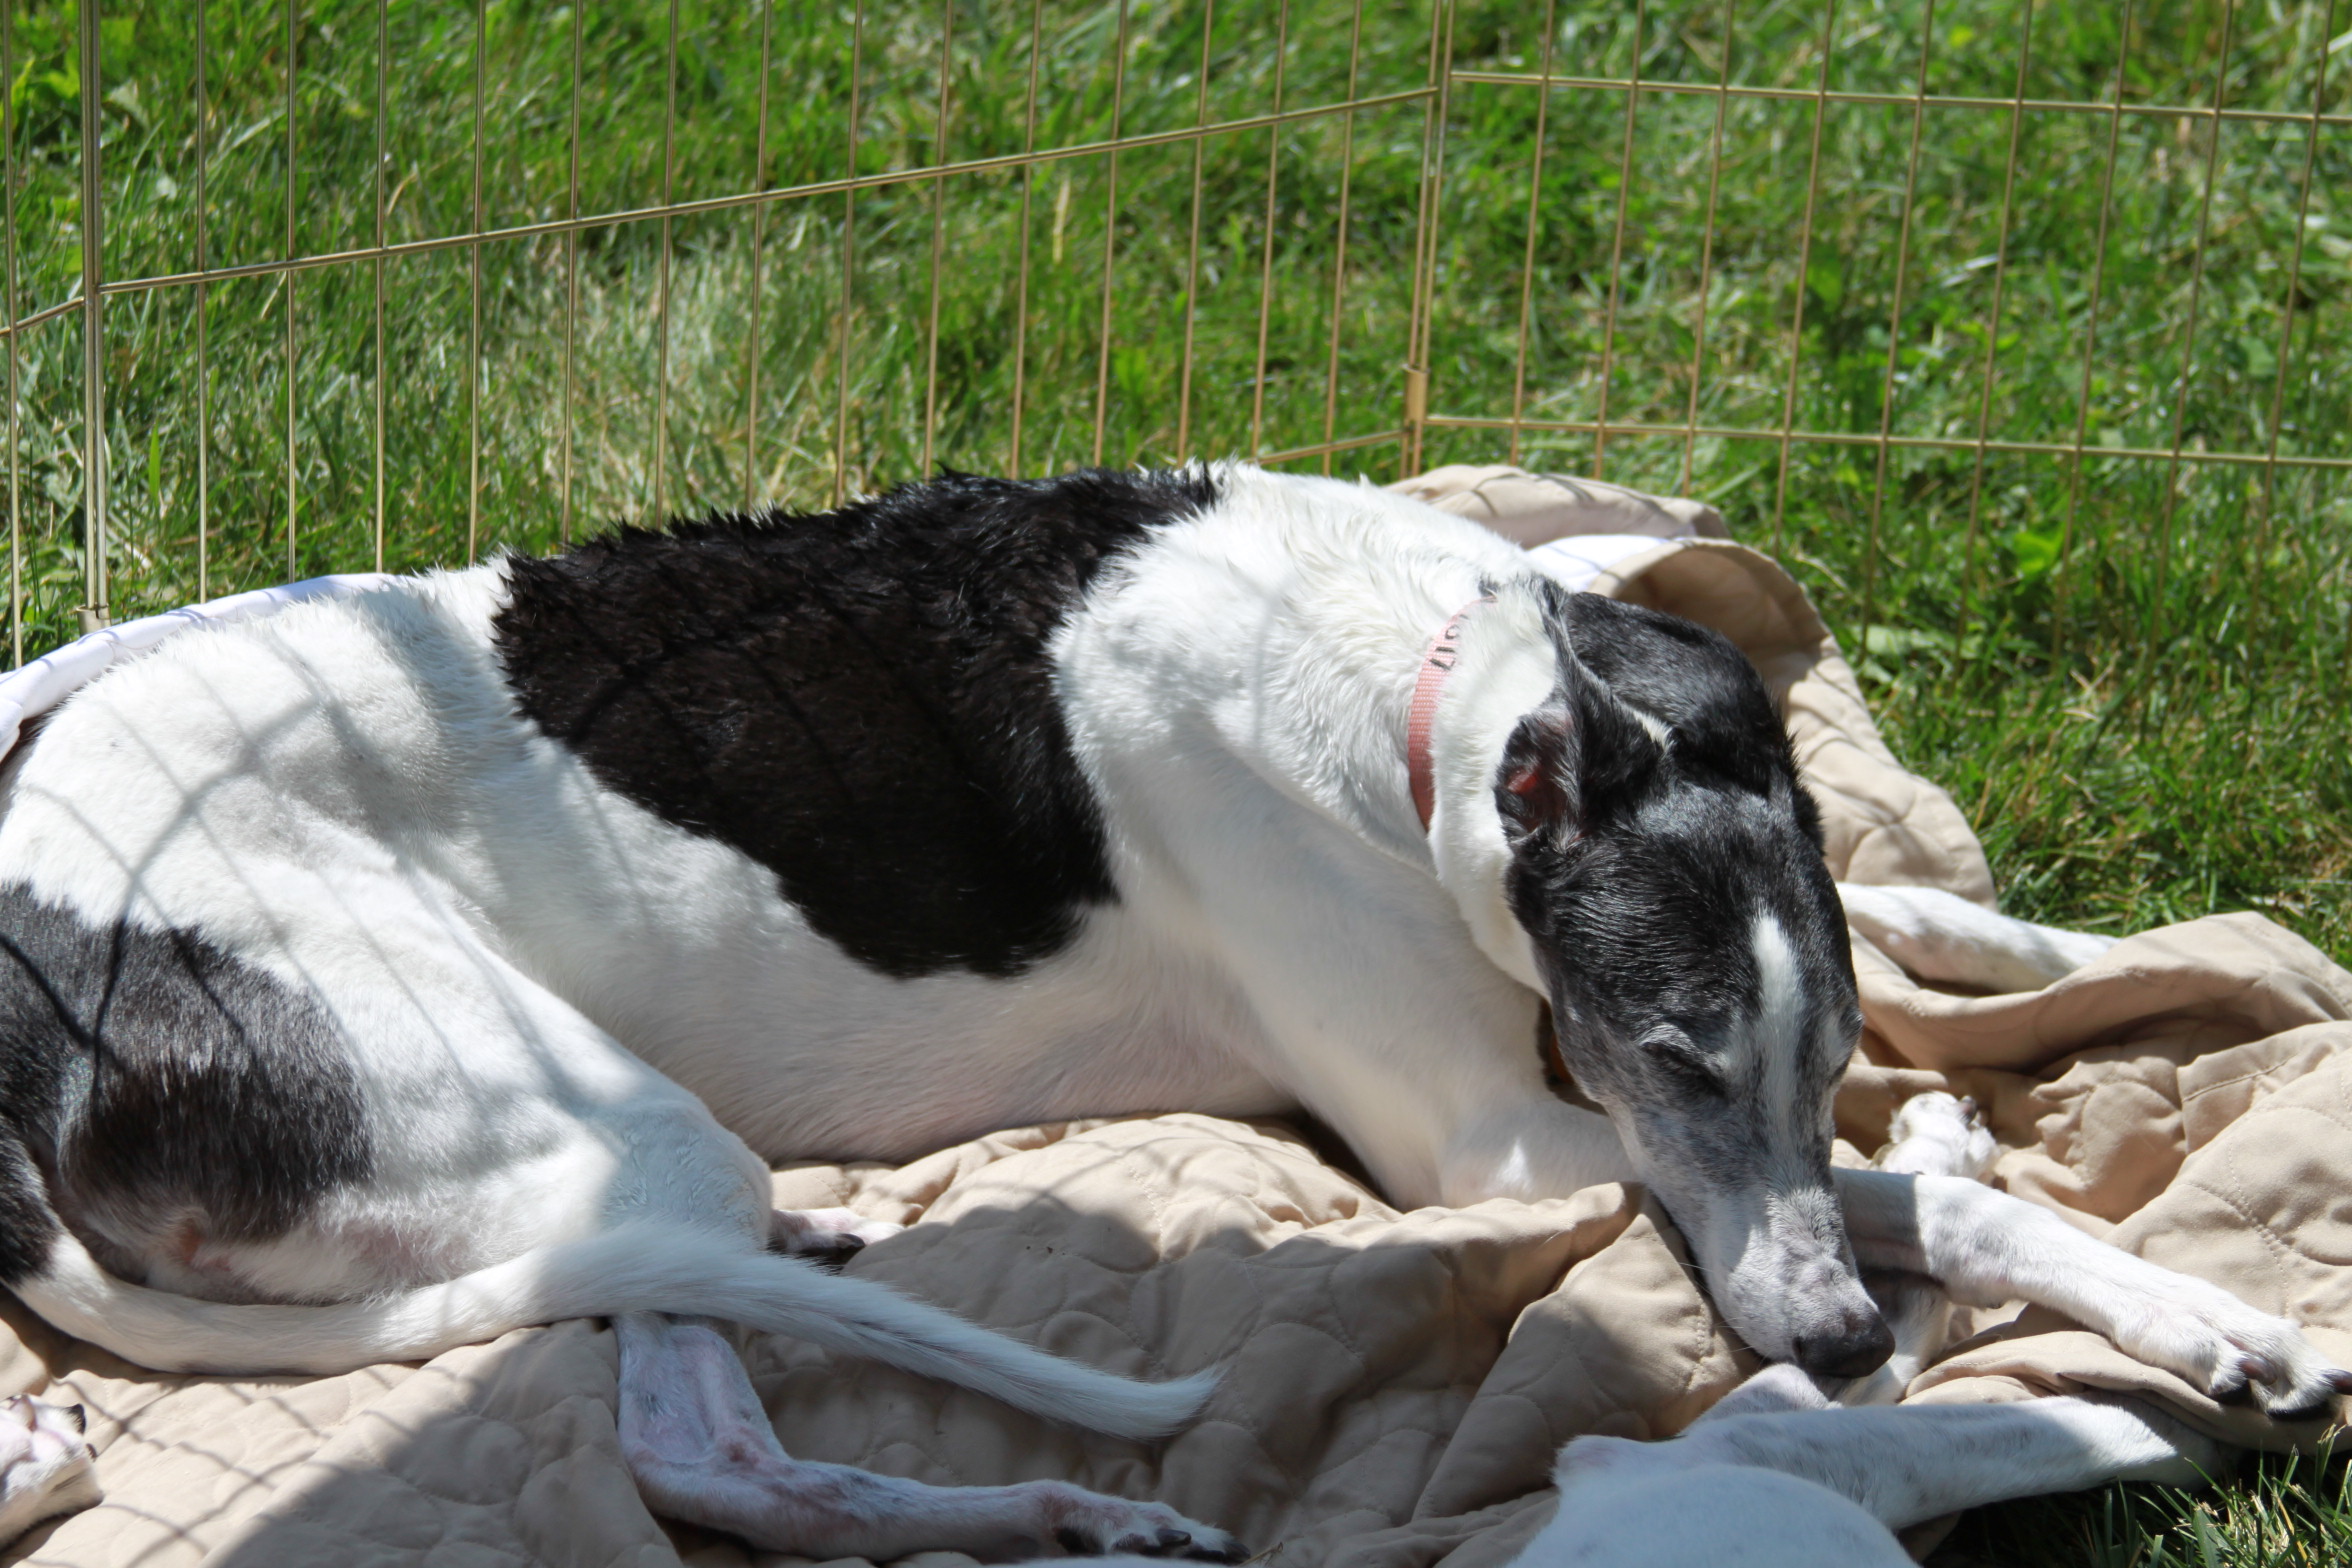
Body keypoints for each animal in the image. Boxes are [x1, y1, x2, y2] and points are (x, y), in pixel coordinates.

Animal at [0, 463, 2340, 1554]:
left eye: (1812, 1042)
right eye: (1674, 1056)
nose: (1836, 1348)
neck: (1427, 692)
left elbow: (1925, 948)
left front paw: (2011, 986)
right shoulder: (1502, 1140)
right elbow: (1905, 1200)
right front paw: (2163, 1310)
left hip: (628, 1169)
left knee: (703, 1436)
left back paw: (1059, 1506)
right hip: (594, 1120)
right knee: (690, 1420)